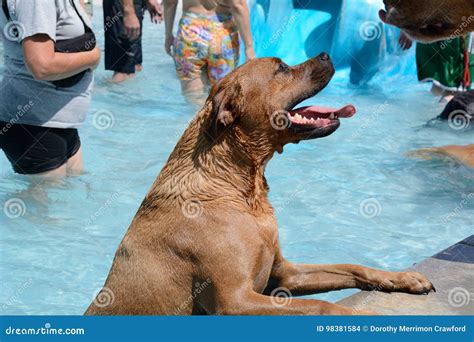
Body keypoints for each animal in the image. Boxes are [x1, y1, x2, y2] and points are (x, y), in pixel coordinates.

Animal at [84, 55, 434, 316]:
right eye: (281, 68)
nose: (326, 54)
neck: (241, 191)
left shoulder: (284, 274)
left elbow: (350, 266)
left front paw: (400, 277)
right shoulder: (236, 300)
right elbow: (321, 306)